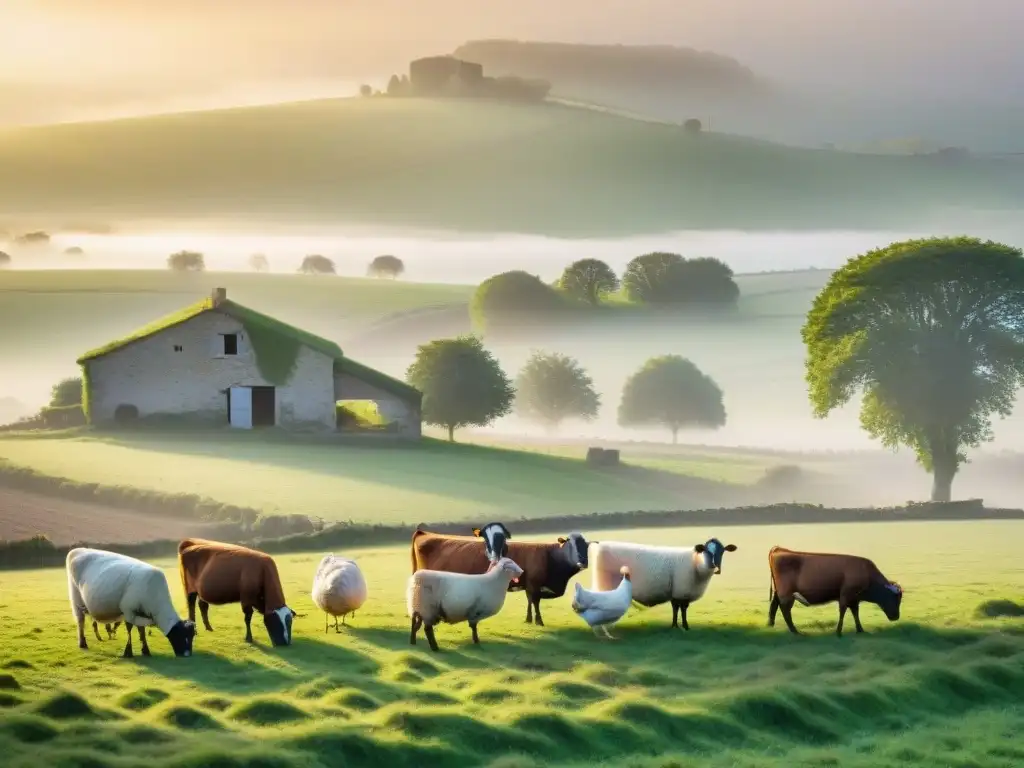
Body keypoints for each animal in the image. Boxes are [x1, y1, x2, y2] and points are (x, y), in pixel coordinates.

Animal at [68, 548, 197, 663]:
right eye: (180, 635)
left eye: (191, 636)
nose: (187, 655)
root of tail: (76, 550)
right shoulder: (129, 610)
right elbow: (129, 629)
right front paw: (128, 652)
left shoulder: (140, 612)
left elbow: (142, 632)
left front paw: (145, 650)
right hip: (76, 599)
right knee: (80, 622)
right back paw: (82, 643)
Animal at [593, 536, 737, 630]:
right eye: (706, 551)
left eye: (722, 551)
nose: (715, 567)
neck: (696, 563)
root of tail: (600, 546)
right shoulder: (681, 591)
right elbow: (682, 609)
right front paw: (683, 626)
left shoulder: (677, 592)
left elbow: (676, 609)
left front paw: (676, 625)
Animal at [770, 548, 905, 638]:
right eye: (895, 598)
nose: (896, 617)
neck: (866, 572)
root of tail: (779, 550)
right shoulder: (845, 595)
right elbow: (843, 612)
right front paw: (839, 632)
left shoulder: (854, 599)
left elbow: (855, 613)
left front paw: (860, 630)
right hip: (786, 594)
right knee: (785, 610)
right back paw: (795, 631)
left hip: (779, 592)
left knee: (774, 605)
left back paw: (771, 624)